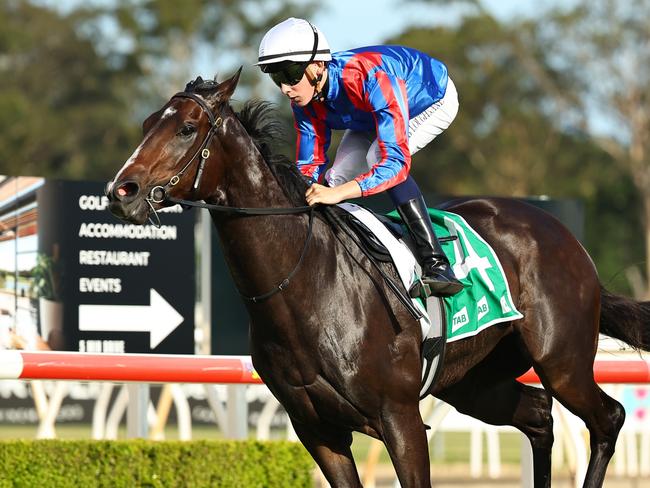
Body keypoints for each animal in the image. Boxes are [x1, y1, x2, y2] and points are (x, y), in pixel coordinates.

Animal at [105, 70, 648, 486]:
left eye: (187, 128)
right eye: (149, 123)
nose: (121, 190)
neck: (306, 285)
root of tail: (564, 236)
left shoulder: (400, 419)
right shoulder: (318, 431)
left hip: (562, 360)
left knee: (608, 418)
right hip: (474, 381)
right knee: (538, 416)